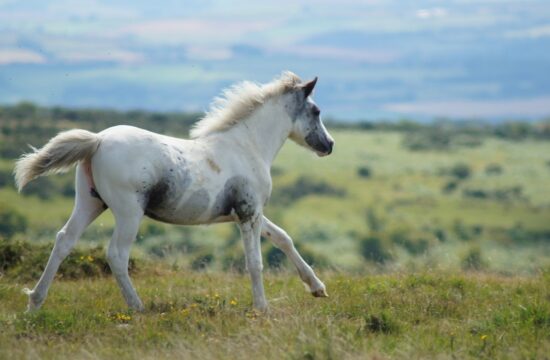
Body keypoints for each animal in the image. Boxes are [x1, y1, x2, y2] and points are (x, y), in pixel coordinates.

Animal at [15, 71, 336, 312]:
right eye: (316, 110)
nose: (329, 145)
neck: (247, 147)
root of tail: (97, 140)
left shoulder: (248, 212)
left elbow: (283, 237)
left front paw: (318, 288)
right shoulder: (249, 213)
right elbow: (255, 262)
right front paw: (262, 308)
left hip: (89, 202)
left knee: (64, 240)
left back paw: (34, 302)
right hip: (128, 212)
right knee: (117, 254)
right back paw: (137, 307)